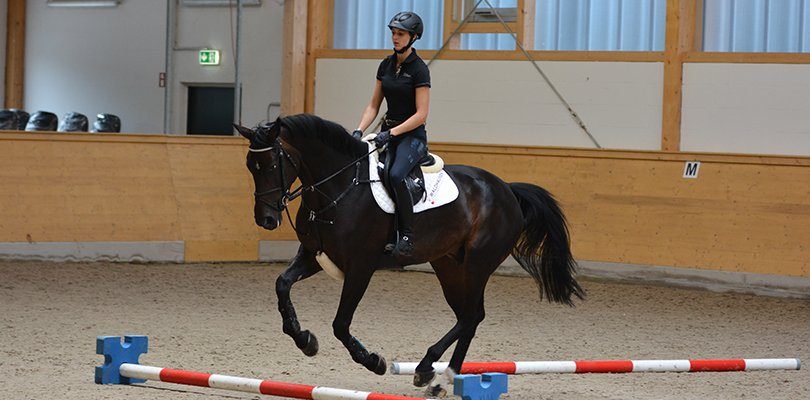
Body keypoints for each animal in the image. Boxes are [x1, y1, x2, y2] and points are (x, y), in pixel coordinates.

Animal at [234, 113, 580, 394]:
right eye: (251, 166)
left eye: (273, 164)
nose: (266, 220)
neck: (339, 187)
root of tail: (506, 189)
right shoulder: (313, 255)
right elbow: (282, 284)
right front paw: (304, 339)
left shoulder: (361, 268)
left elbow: (340, 323)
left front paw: (373, 360)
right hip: (447, 266)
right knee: (468, 316)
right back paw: (433, 374)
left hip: (477, 265)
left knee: (472, 315)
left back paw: (436, 374)